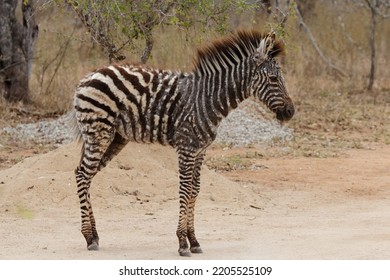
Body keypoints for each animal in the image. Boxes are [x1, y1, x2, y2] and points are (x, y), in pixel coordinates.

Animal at [71, 30, 294, 256]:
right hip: (99, 133)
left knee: (86, 174)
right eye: (274, 78)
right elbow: (185, 189)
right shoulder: (186, 147)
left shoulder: (201, 150)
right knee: (82, 174)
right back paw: (88, 237)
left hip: (114, 137)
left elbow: (195, 189)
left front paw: (193, 240)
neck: (207, 99)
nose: (290, 112)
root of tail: (89, 76)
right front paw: (182, 242)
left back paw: (94, 235)